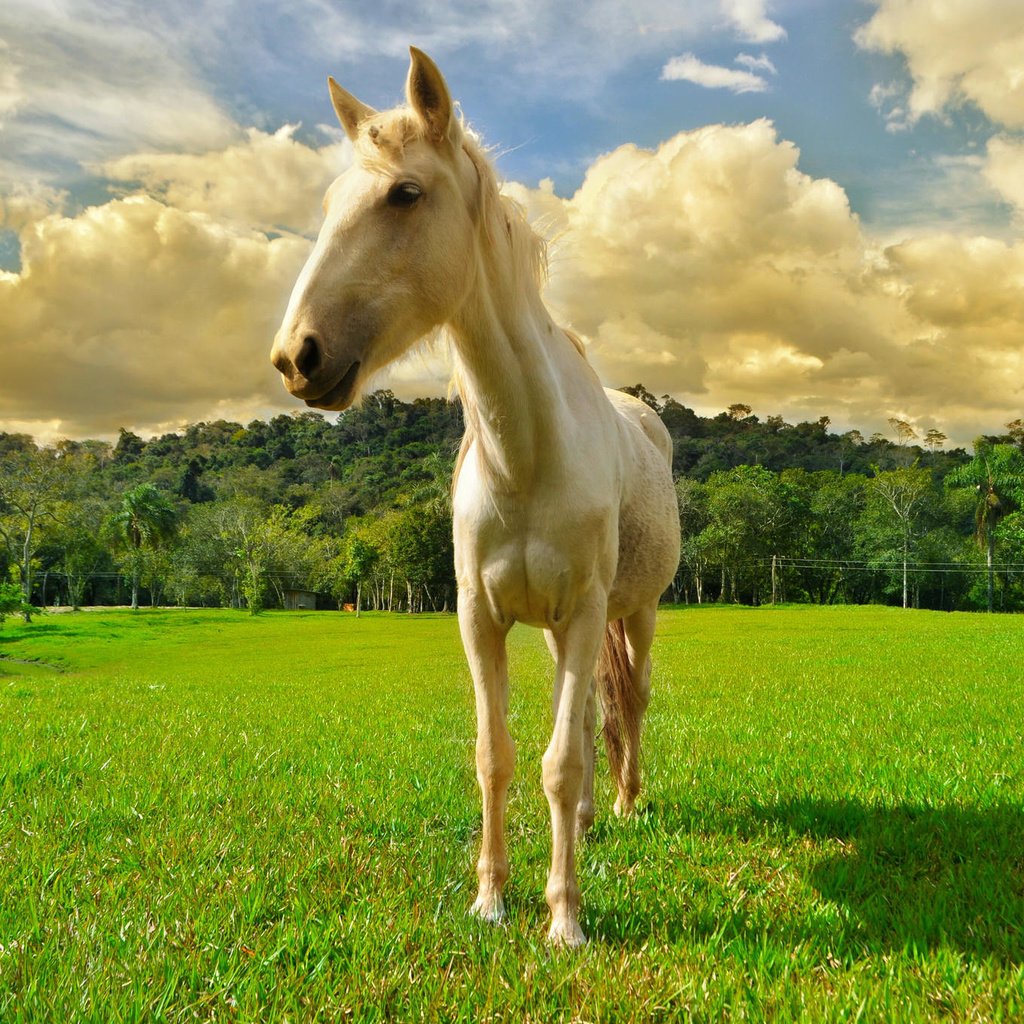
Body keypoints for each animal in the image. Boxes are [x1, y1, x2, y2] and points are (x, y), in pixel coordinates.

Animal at [272, 46, 679, 942]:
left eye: (405, 193)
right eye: (330, 203)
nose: (295, 356)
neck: (526, 455)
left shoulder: (587, 611)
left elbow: (560, 762)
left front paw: (564, 918)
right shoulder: (481, 617)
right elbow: (499, 757)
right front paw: (491, 898)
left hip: (635, 610)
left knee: (628, 705)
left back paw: (626, 805)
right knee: (591, 719)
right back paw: (591, 819)